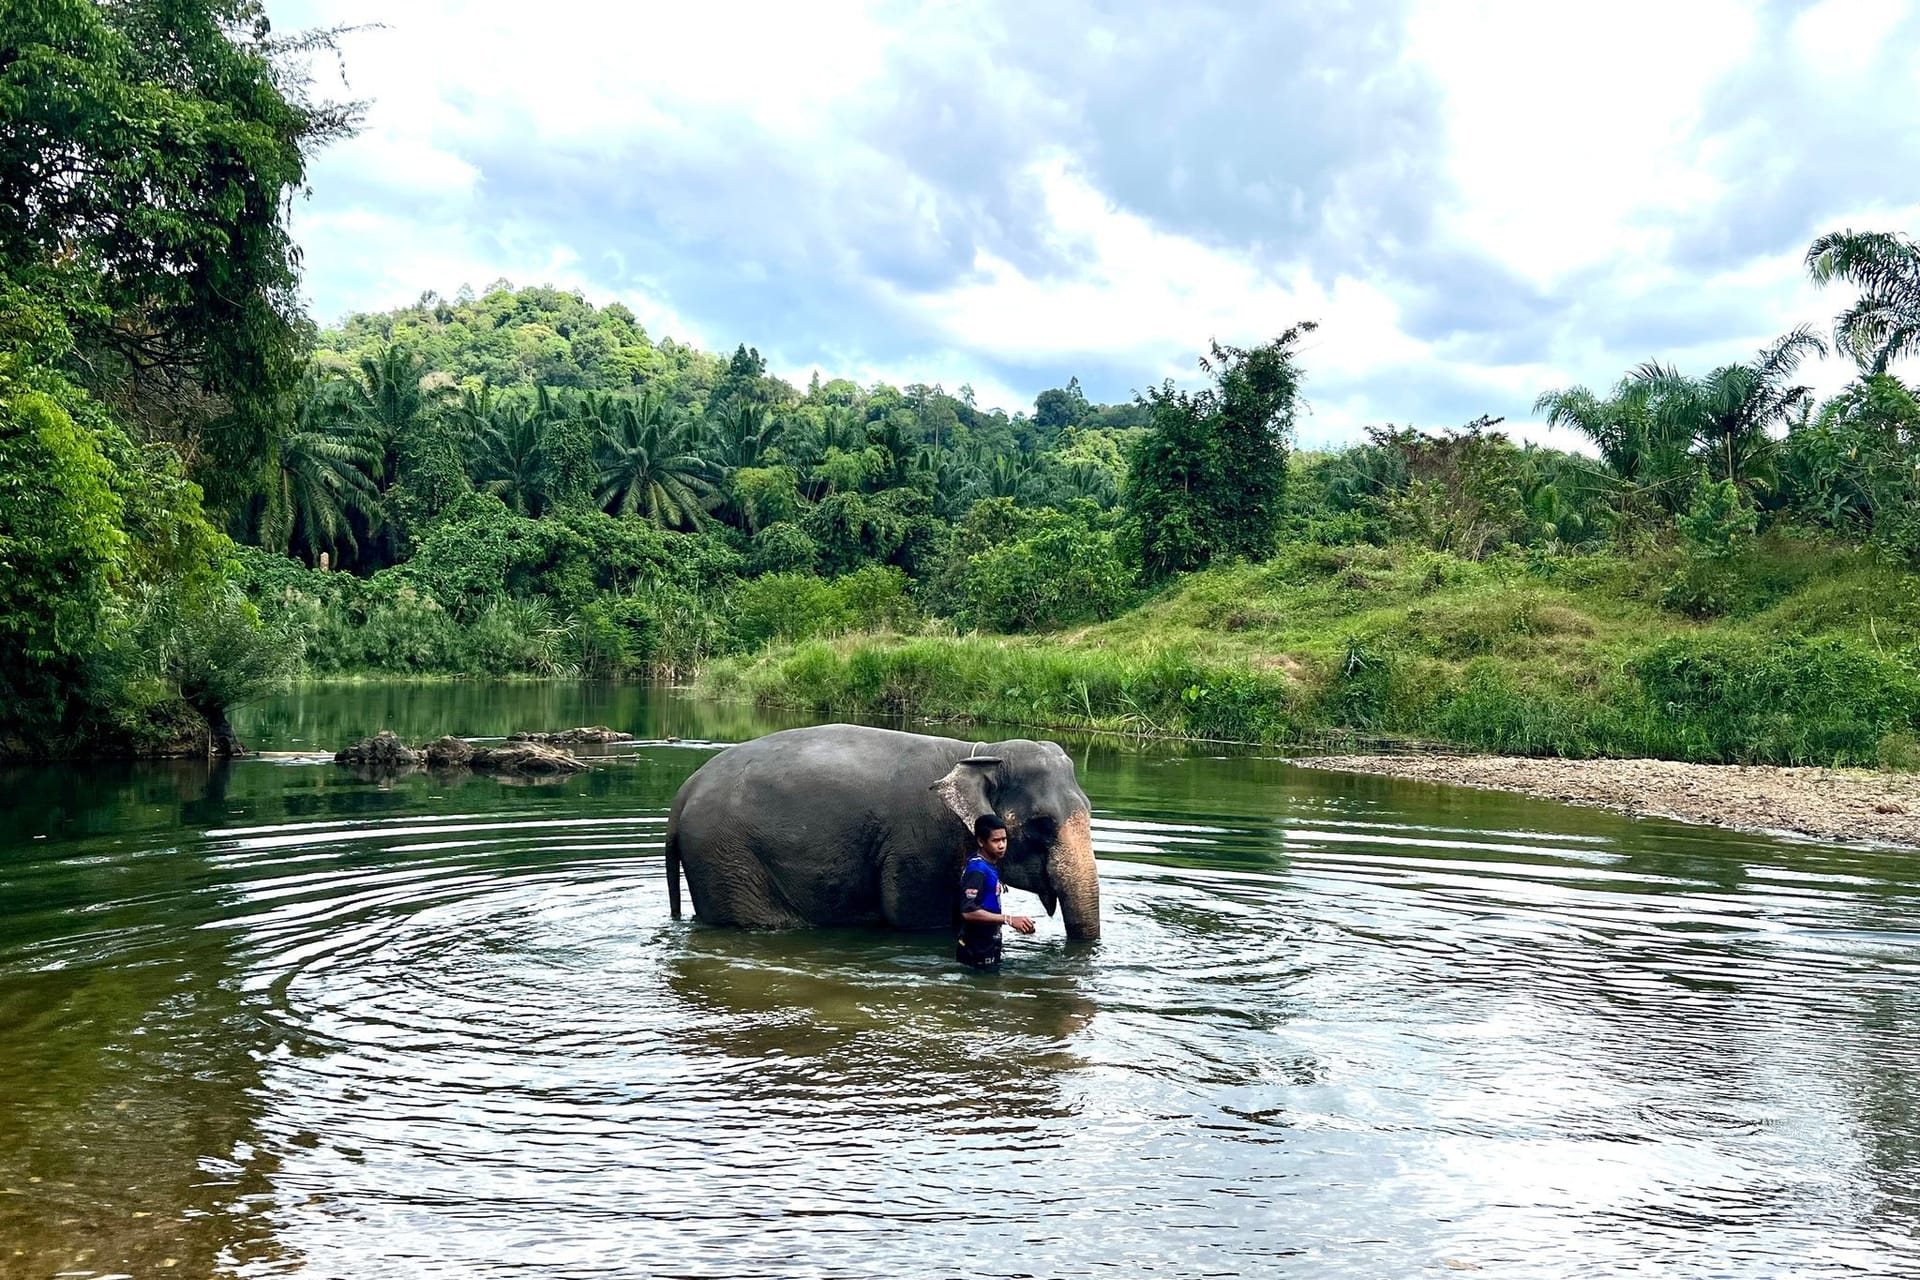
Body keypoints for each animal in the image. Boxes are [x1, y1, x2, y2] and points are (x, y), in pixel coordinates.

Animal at [668, 729, 1105, 940]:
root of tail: (683, 793)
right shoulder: (919, 843)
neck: (978, 753)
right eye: (1042, 823)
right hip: (726, 857)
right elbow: (914, 918)